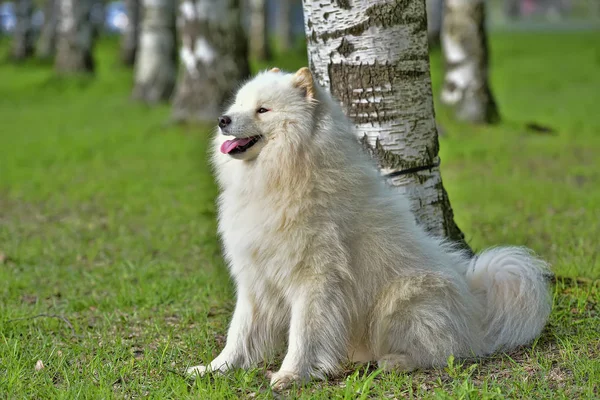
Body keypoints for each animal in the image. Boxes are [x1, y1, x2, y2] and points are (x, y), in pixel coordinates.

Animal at [189, 67, 552, 390]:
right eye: (239, 104)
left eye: (262, 110)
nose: (223, 119)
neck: (282, 177)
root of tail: (476, 308)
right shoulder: (255, 279)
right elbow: (239, 333)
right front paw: (215, 368)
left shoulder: (316, 280)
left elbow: (303, 334)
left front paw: (291, 375)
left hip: (400, 299)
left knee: (442, 352)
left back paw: (394, 361)